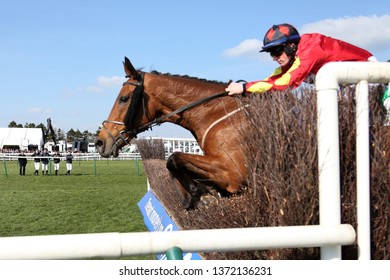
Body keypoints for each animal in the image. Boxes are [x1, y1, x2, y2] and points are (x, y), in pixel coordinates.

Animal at [95, 57, 248, 210]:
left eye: (123, 98)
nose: (100, 143)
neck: (216, 111)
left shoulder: (232, 172)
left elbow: (173, 158)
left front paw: (199, 193)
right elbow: (172, 165)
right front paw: (194, 195)